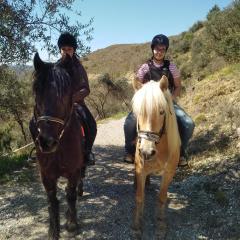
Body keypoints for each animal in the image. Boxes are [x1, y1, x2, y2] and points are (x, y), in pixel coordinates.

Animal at [29, 53, 85, 240]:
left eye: (66, 93)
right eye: (36, 90)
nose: (47, 142)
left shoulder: (73, 171)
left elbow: (71, 195)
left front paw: (72, 224)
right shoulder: (46, 175)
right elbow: (52, 201)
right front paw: (53, 230)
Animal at [131, 76, 180, 234]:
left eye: (162, 112)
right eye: (138, 112)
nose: (146, 152)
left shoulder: (169, 172)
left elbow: (162, 197)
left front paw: (160, 223)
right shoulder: (140, 169)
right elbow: (139, 197)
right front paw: (137, 225)